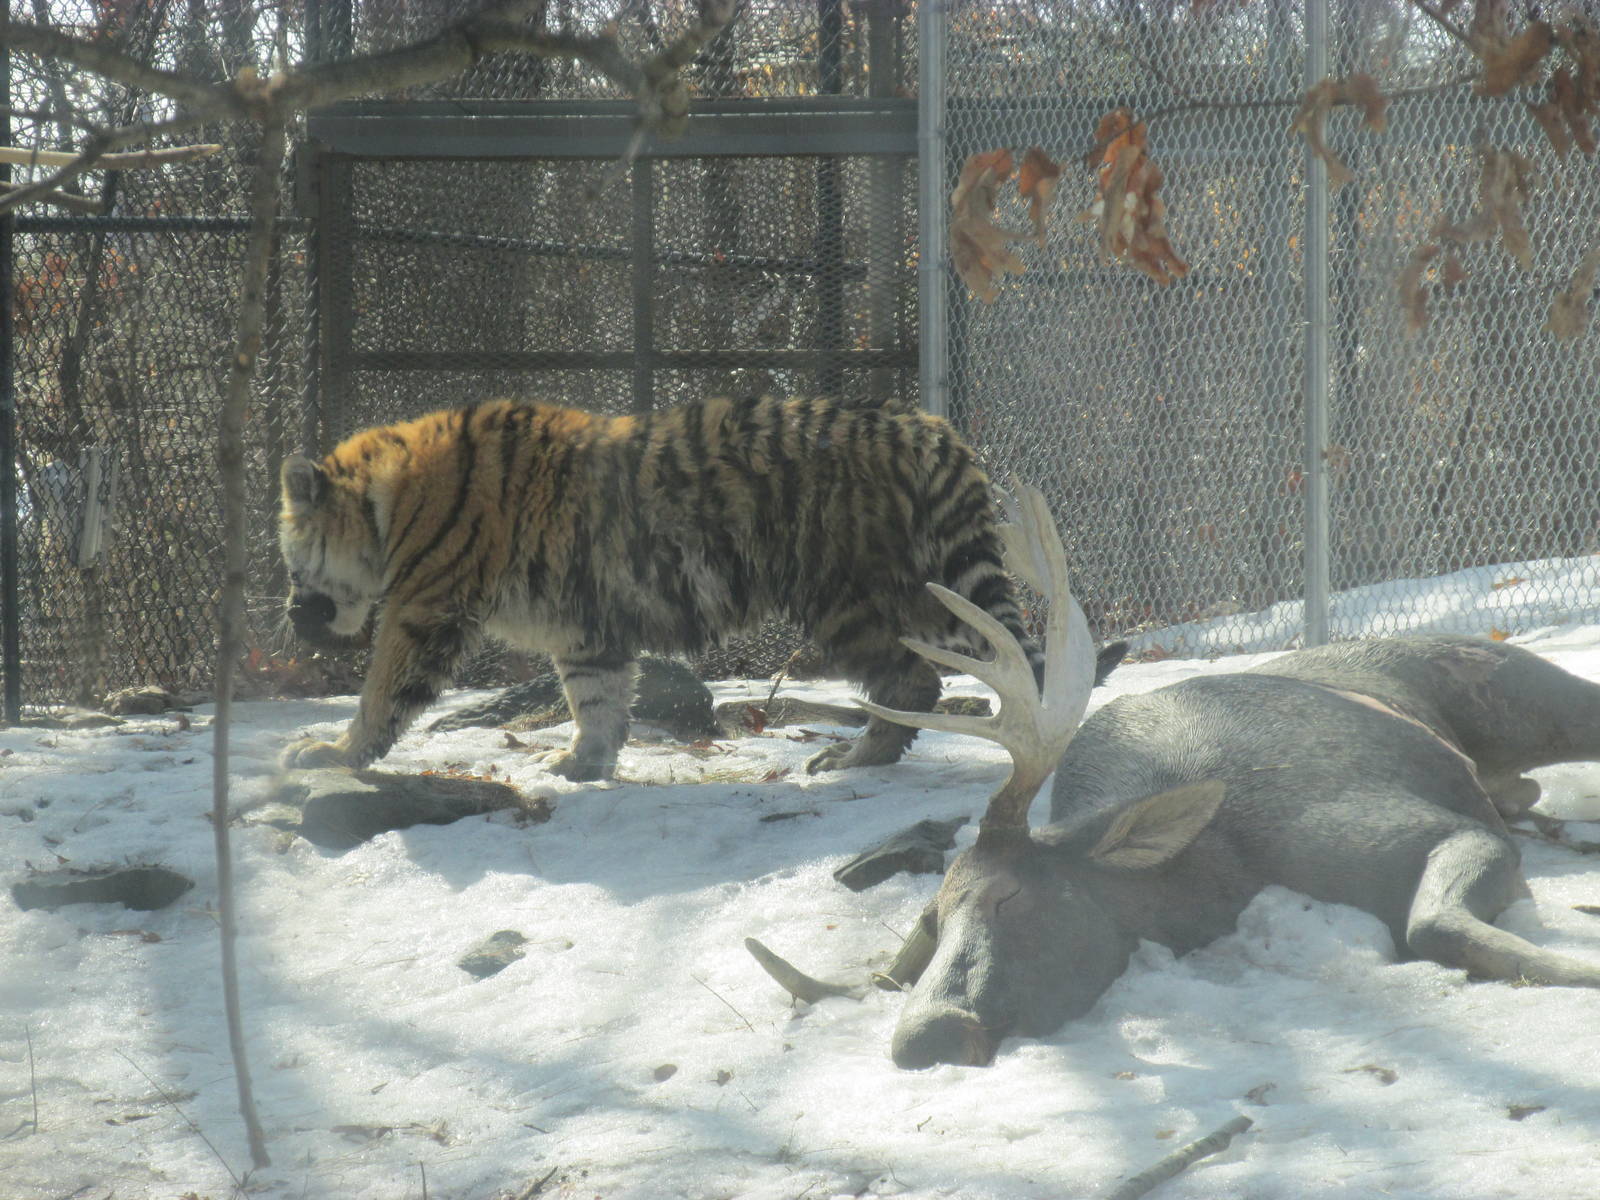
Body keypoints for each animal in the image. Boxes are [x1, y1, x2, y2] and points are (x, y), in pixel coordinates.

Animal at [277, 393, 1123, 781]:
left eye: (291, 562)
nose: (289, 614)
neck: (387, 505)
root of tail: (921, 423)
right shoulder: (585, 629)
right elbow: (596, 697)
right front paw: (583, 762)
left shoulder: (423, 608)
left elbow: (384, 691)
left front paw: (330, 752)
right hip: (925, 581)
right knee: (985, 651)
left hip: (848, 592)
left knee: (914, 679)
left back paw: (852, 760)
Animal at [751, 484, 1600, 1069]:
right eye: (930, 920)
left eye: (1008, 897)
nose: (926, 1037)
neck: (1219, 874)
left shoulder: (1413, 827)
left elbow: (1433, 924)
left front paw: (1580, 969)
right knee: (1523, 795)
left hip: (1528, 691)